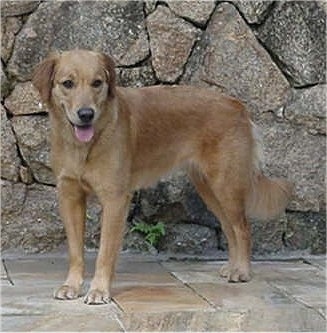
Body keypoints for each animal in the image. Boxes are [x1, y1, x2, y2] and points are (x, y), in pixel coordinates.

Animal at [32, 48, 294, 304]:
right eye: (68, 83)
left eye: (97, 83)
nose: (86, 114)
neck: (84, 146)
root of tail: (237, 104)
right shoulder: (69, 196)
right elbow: (76, 251)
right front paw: (71, 286)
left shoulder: (115, 199)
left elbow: (105, 252)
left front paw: (99, 290)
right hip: (209, 189)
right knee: (229, 229)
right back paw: (233, 267)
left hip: (226, 186)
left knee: (243, 228)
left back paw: (242, 271)